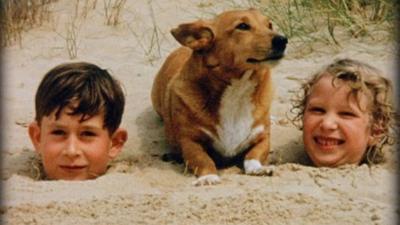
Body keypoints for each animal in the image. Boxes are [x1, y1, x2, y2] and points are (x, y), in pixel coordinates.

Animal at [152, 8, 286, 185]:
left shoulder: (262, 138)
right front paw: (208, 176)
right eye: (243, 26)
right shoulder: (190, 141)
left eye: (269, 25)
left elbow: (253, 155)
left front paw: (258, 169)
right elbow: (203, 159)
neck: (238, 89)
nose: (283, 40)